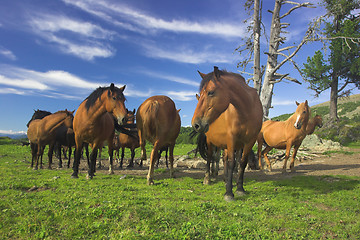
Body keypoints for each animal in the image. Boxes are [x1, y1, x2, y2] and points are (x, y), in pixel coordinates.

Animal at [191, 66, 262, 201]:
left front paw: (240, 189)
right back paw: (208, 179)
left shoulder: (249, 141)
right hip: (211, 142)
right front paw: (229, 193)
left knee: (222, 158)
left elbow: (241, 162)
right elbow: (231, 163)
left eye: (211, 92)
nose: (195, 124)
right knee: (210, 158)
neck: (247, 111)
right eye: (201, 93)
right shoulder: (231, 139)